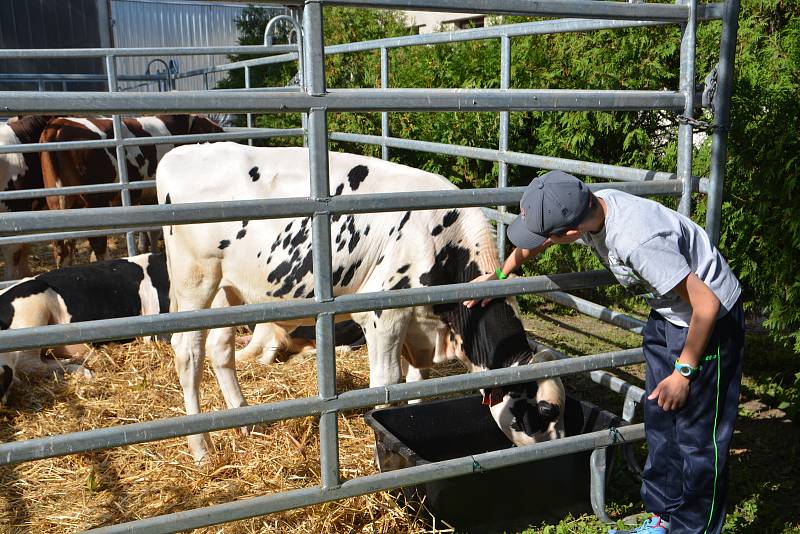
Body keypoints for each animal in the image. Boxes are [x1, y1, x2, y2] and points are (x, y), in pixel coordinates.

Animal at [158, 142, 568, 464]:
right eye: (544, 410)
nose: (561, 448)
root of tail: (181, 153)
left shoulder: (417, 325)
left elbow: (417, 381)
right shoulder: (383, 315)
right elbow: (387, 381)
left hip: (229, 291)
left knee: (219, 347)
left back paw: (243, 420)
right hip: (196, 281)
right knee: (188, 353)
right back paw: (201, 448)